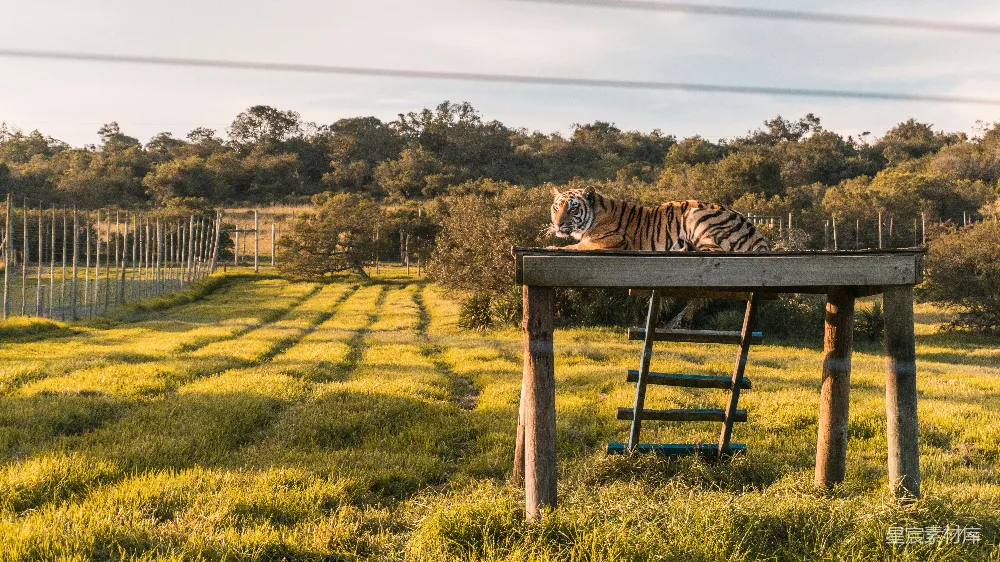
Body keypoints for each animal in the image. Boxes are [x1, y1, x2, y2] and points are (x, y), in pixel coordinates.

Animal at [548, 185, 768, 252]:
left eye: (573, 208)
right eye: (556, 208)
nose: (557, 225)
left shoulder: (607, 243)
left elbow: (572, 247)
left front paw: (552, 247)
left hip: (695, 214)